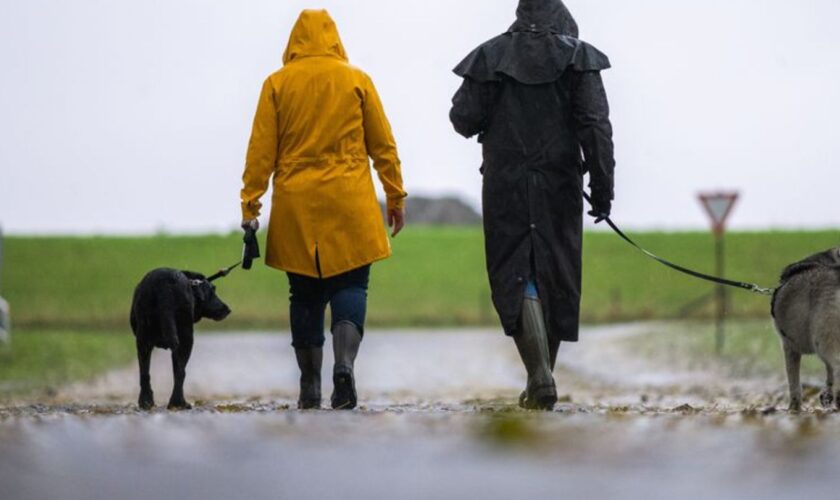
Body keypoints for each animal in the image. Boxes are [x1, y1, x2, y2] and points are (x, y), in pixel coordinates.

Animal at [128, 270, 228, 410]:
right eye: (212, 291)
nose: (227, 309)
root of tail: (165, 286)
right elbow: (180, 372)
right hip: (186, 338)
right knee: (180, 373)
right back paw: (178, 402)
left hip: (143, 340)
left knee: (145, 374)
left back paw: (146, 402)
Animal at [772, 248, 840, 412]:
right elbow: (829, 371)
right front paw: (827, 395)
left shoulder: (789, 347)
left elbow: (794, 384)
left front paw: (793, 409)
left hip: (824, 341)